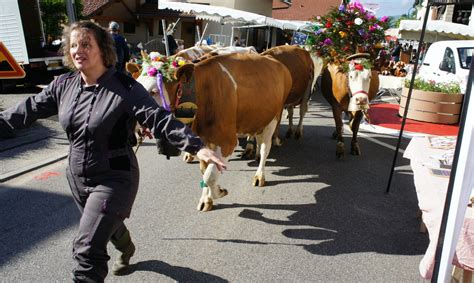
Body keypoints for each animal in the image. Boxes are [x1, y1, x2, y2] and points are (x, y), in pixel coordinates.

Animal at [136, 53, 292, 213]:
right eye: (137, 83)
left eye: (154, 91)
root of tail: (274, 60)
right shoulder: (204, 141)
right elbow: (205, 171)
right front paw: (206, 199)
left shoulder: (228, 142)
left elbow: (210, 175)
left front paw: (218, 192)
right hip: (258, 118)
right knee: (259, 140)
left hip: (274, 117)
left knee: (265, 147)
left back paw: (260, 175)